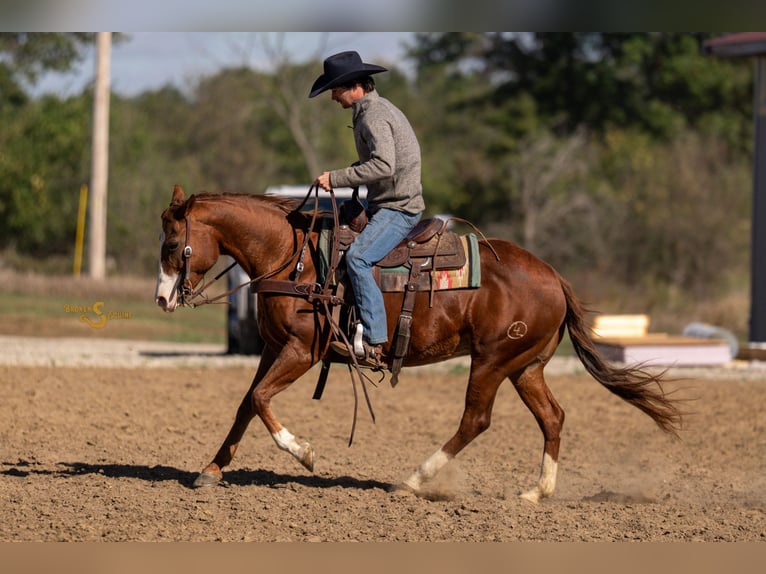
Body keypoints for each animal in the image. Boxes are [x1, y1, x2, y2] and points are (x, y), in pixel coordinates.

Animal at [154, 184, 681, 502]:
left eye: (172, 244)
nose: (162, 298)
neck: (293, 256)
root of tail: (554, 277)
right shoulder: (272, 347)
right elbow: (247, 403)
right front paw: (211, 469)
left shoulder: (303, 351)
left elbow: (263, 399)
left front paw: (303, 452)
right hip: (524, 366)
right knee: (552, 417)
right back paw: (537, 492)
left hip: (492, 361)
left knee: (475, 420)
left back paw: (412, 480)